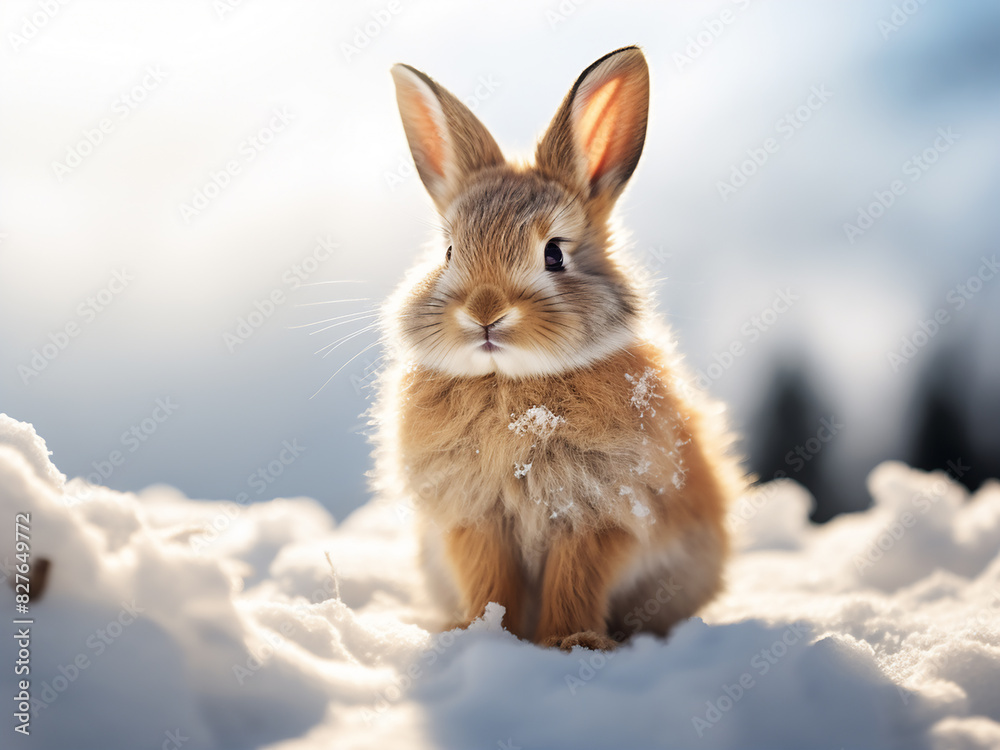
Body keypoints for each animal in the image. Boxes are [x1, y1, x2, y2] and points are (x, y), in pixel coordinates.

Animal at [372, 46, 745, 651]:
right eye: (449, 253)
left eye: (554, 255)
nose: (484, 312)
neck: (511, 385)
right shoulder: (475, 517)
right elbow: (488, 579)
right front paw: (479, 635)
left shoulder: (600, 514)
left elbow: (576, 579)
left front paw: (572, 644)